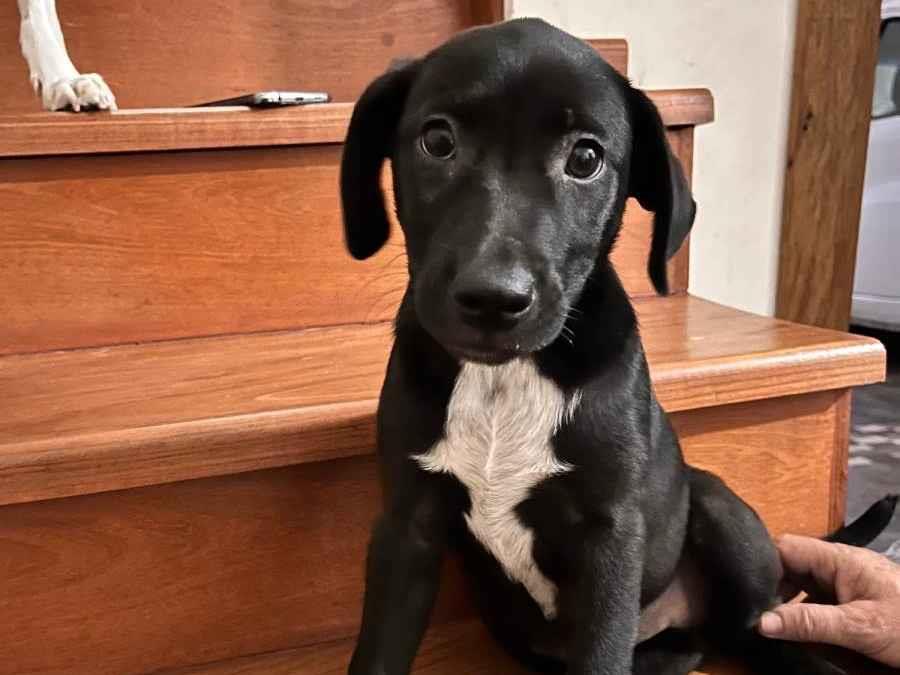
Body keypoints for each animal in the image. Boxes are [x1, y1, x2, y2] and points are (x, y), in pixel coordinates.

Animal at [340, 18, 892, 675]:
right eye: (437, 140)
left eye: (585, 158)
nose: (494, 299)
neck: (507, 378)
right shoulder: (407, 528)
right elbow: (378, 650)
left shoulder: (609, 538)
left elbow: (602, 652)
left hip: (716, 505)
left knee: (761, 625)